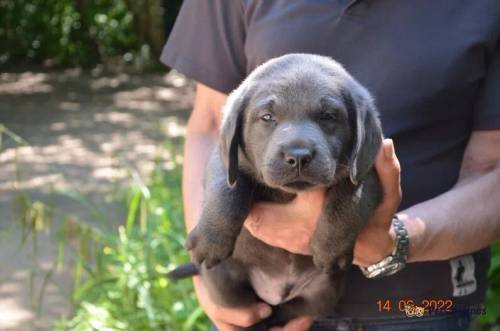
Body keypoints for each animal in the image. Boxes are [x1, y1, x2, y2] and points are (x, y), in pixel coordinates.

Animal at [174, 53, 380, 330]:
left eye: (328, 116)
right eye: (267, 117)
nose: (299, 156)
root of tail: (275, 290)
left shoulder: (367, 171)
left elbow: (348, 203)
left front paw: (330, 249)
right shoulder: (225, 160)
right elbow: (227, 191)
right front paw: (210, 241)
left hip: (323, 292)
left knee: (287, 311)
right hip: (223, 281)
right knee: (256, 311)